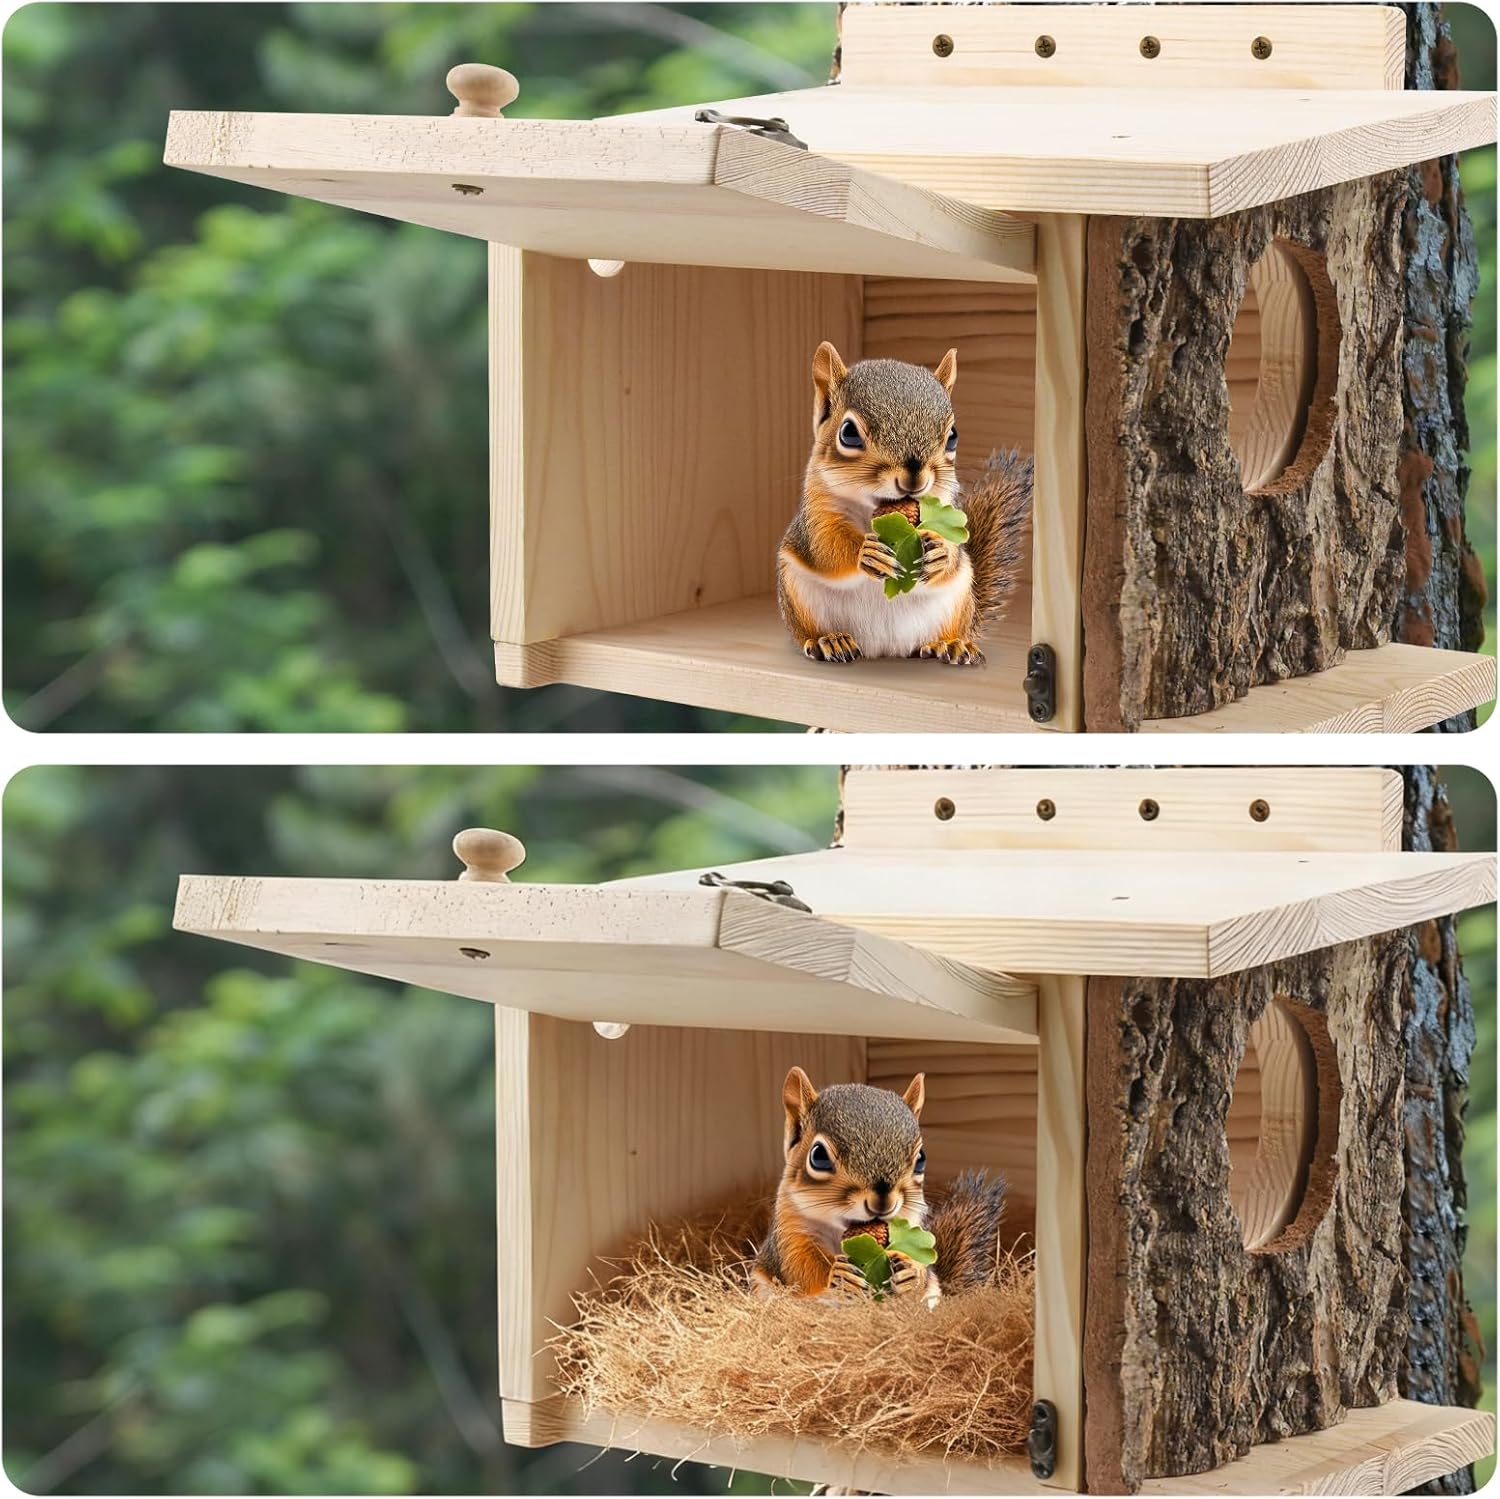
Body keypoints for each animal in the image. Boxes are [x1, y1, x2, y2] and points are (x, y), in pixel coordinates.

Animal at [750, 1066, 1007, 1305]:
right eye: (818, 1156)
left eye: (921, 1158)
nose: (883, 1201)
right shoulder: (790, 1231)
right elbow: (800, 1267)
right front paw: (838, 1275)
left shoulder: (913, 1223)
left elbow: (922, 1267)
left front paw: (911, 1273)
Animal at [776, 342, 1032, 667]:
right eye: (848, 433)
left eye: (953, 436)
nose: (914, 478)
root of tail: (885, 649)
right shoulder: (817, 514)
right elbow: (826, 549)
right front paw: (867, 553)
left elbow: (952, 551)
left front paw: (941, 553)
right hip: (798, 597)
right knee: (809, 631)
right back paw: (829, 640)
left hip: (957, 602)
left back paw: (950, 644)